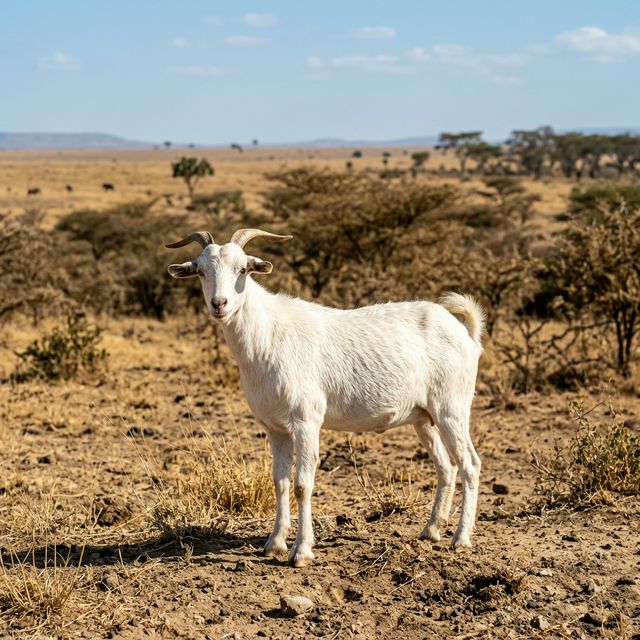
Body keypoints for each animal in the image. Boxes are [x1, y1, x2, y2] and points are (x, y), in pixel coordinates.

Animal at [166, 229, 484, 567]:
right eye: (201, 271)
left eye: (243, 270)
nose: (219, 304)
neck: (268, 335)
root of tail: (464, 331)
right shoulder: (275, 428)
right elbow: (280, 482)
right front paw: (274, 544)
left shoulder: (306, 422)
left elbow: (302, 485)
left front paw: (301, 551)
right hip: (423, 418)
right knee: (446, 467)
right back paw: (431, 530)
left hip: (452, 408)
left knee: (469, 465)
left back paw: (460, 538)